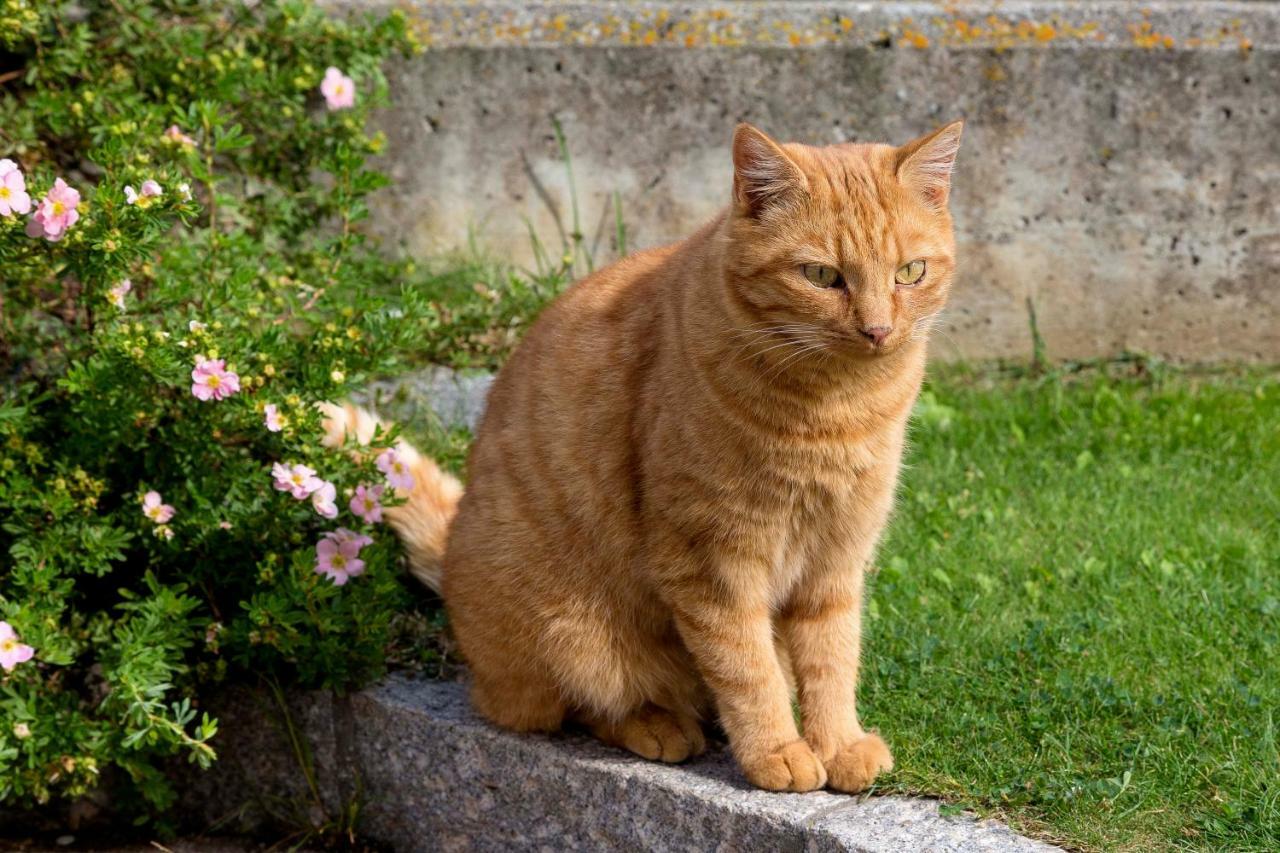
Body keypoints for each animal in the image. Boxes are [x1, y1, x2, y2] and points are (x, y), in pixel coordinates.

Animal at [325, 121, 962, 788]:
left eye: (910, 272)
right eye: (821, 275)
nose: (878, 330)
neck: (837, 408)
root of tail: (450, 552)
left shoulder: (837, 558)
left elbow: (832, 656)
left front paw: (838, 743)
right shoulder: (711, 560)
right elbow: (747, 667)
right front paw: (777, 751)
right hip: (571, 633)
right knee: (570, 707)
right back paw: (658, 725)